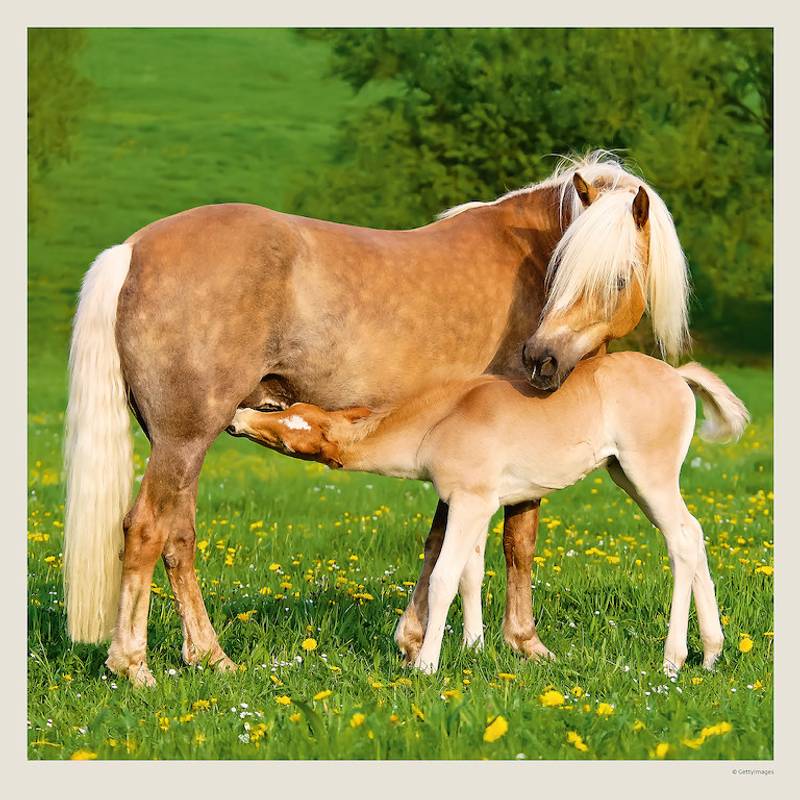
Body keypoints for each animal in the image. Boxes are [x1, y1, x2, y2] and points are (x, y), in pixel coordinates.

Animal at [63, 151, 690, 686]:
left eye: (615, 279)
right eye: (561, 272)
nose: (542, 361)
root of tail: (132, 250)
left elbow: (442, 541)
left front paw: (416, 641)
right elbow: (516, 540)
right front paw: (523, 643)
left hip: (181, 442)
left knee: (178, 535)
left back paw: (210, 656)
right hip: (184, 437)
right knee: (146, 529)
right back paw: (133, 665)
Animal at [228, 352, 748, 675]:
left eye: (292, 432)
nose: (236, 417)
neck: (442, 420)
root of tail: (677, 375)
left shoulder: (470, 502)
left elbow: (442, 577)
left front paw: (427, 664)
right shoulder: (477, 505)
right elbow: (470, 574)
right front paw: (473, 648)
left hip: (649, 475)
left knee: (681, 541)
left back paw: (673, 658)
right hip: (627, 476)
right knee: (694, 533)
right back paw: (711, 653)